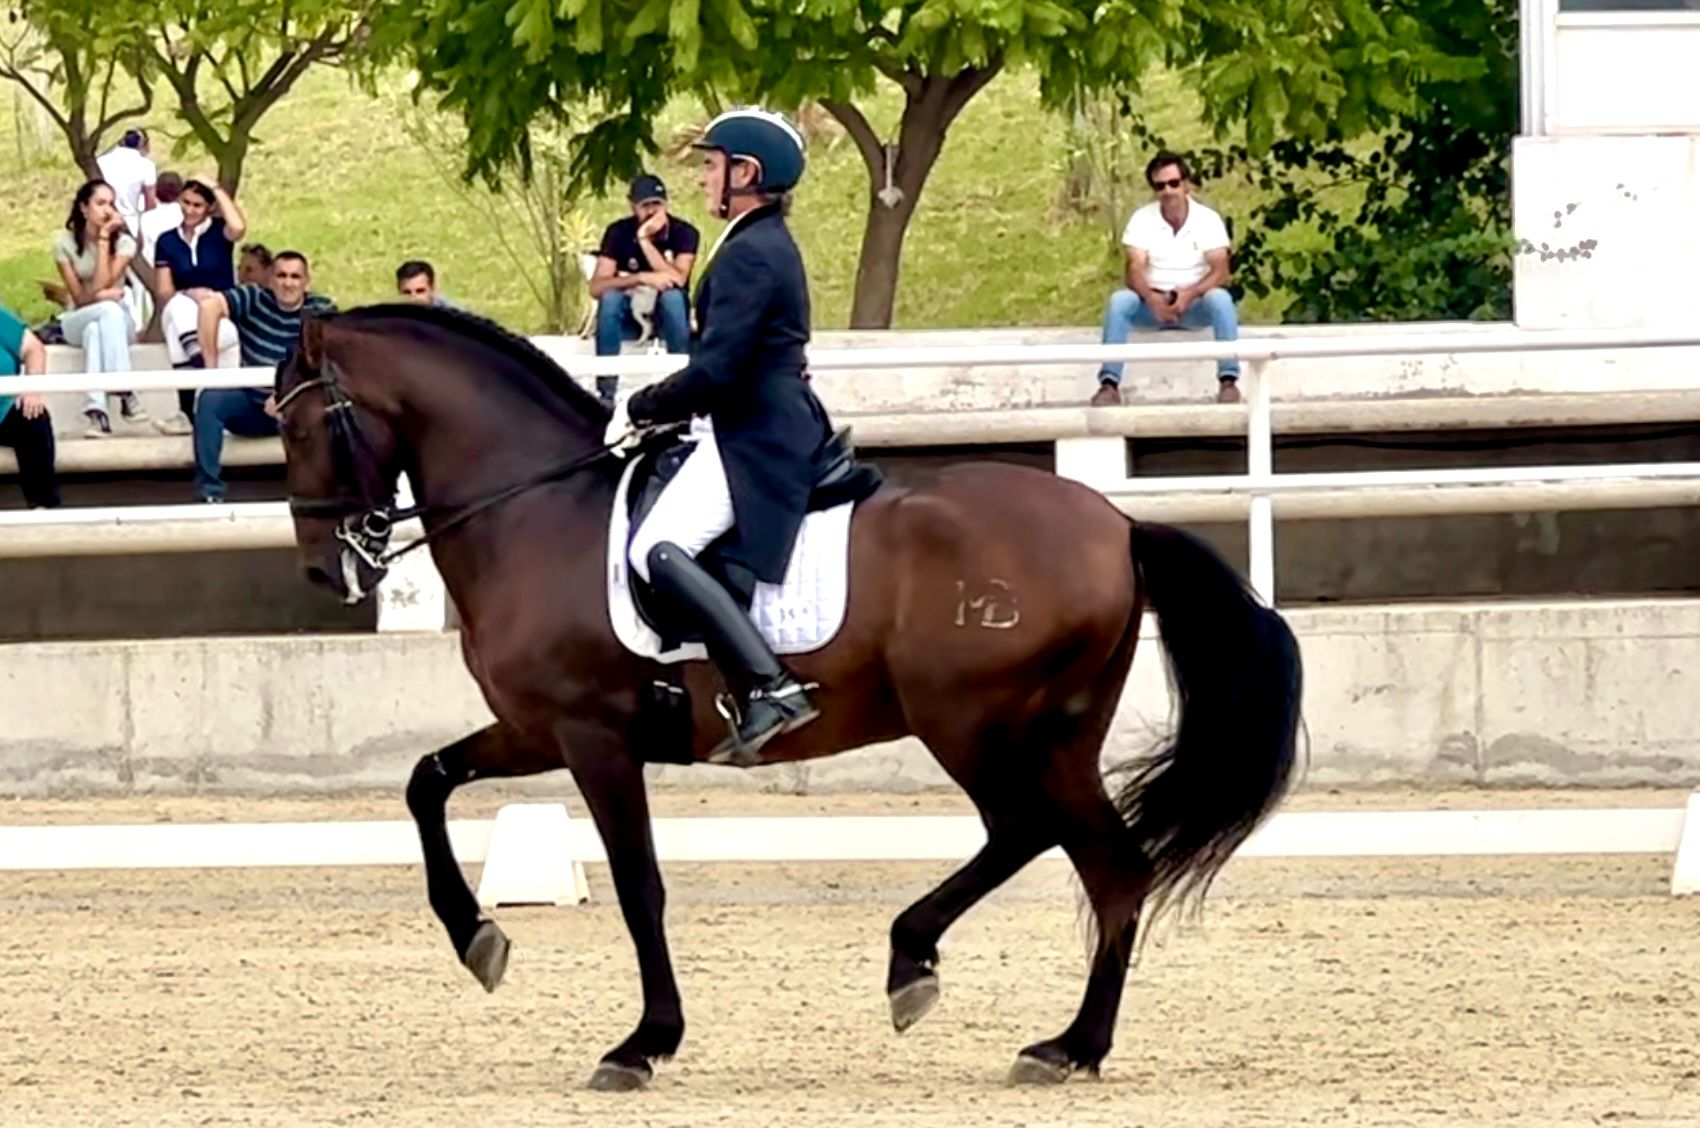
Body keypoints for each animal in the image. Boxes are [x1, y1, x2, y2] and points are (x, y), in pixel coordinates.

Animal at [275, 302, 1298, 1094]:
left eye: (299, 429)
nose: (325, 572)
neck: (532, 511)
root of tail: (1119, 523)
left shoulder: (591, 735)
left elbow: (639, 884)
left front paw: (643, 1044)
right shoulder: (536, 728)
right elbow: (425, 782)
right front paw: (478, 940)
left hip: (970, 723)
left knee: (1027, 831)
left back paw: (916, 965)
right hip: (1059, 733)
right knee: (1112, 866)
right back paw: (1069, 1047)